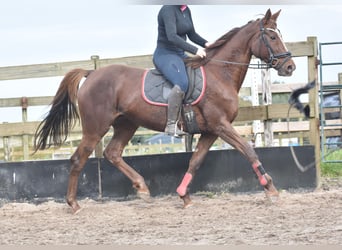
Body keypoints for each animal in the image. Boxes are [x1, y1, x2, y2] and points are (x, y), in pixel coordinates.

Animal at [35, 9, 296, 213]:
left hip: (126, 124)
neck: (219, 74)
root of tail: (92, 74)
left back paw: (142, 188)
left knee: (112, 153)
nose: (290, 67)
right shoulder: (221, 125)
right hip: (95, 128)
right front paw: (271, 189)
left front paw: (184, 195)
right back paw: (74, 204)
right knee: (78, 159)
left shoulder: (210, 131)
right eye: (272, 36)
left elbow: (195, 162)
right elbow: (249, 152)